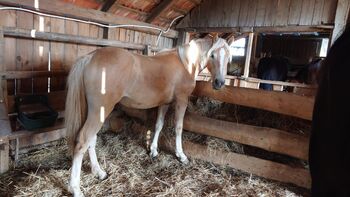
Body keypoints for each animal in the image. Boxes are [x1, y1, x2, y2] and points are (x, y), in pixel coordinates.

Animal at [66, 35, 232, 195]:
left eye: (229, 56)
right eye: (212, 55)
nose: (219, 83)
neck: (185, 64)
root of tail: (90, 57)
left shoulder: (164, 103)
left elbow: (158, 125)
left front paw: (153, 150)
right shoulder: (181, 101)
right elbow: (178, 128)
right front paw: (181, 155)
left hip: (95, 112)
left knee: (91, 140)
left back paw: (99, 172)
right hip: (100, 111)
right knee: (83, 140)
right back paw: (75, 188)